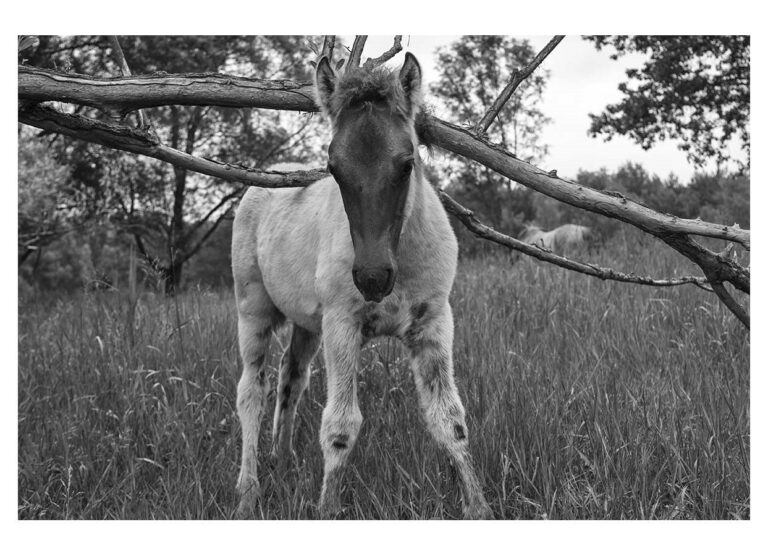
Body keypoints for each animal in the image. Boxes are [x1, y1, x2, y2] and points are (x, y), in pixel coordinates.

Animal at [231, 53, 492, 519]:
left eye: (407, 163)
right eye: (333, 169)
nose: (372, 278)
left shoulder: (434, 323)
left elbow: (450, 420)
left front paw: (478, 508)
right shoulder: (342, 325)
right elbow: (340, 426)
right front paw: (327, 509)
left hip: (307, 324)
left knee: (291, 377)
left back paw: (283, 459)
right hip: (253, 308)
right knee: (251, 391)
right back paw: (249, 492)